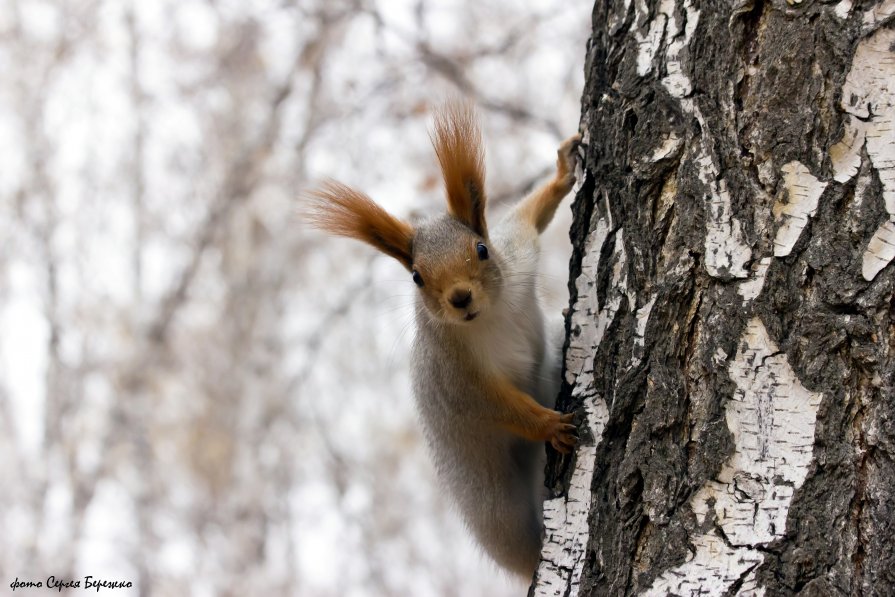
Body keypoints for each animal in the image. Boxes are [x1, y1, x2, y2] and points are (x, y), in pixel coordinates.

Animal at [308, 102, 580, 576]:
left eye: (482, 250)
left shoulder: (518, 253)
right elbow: (492, 405)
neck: (489, 316)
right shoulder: (452, 373)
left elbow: (528, 216)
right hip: (494, 502)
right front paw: (549, 424)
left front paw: (563, 173)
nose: (459, 297)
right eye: (417, 277)